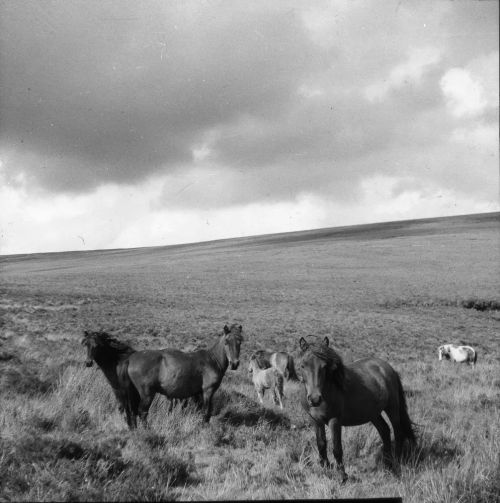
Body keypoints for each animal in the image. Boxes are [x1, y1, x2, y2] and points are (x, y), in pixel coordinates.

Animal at [296, 336, 414, 482]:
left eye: (324, 366)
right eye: (302, 365)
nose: (314, 399)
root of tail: (388, 368)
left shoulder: (335, 421)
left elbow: (337, 448)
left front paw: (342, 475)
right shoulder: (315, 420)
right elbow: (321, 444)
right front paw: (325, 468)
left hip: (392, 408)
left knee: (398, 433)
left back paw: (396, 462)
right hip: (373, 413)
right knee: (385, 431)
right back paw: (387, 464)